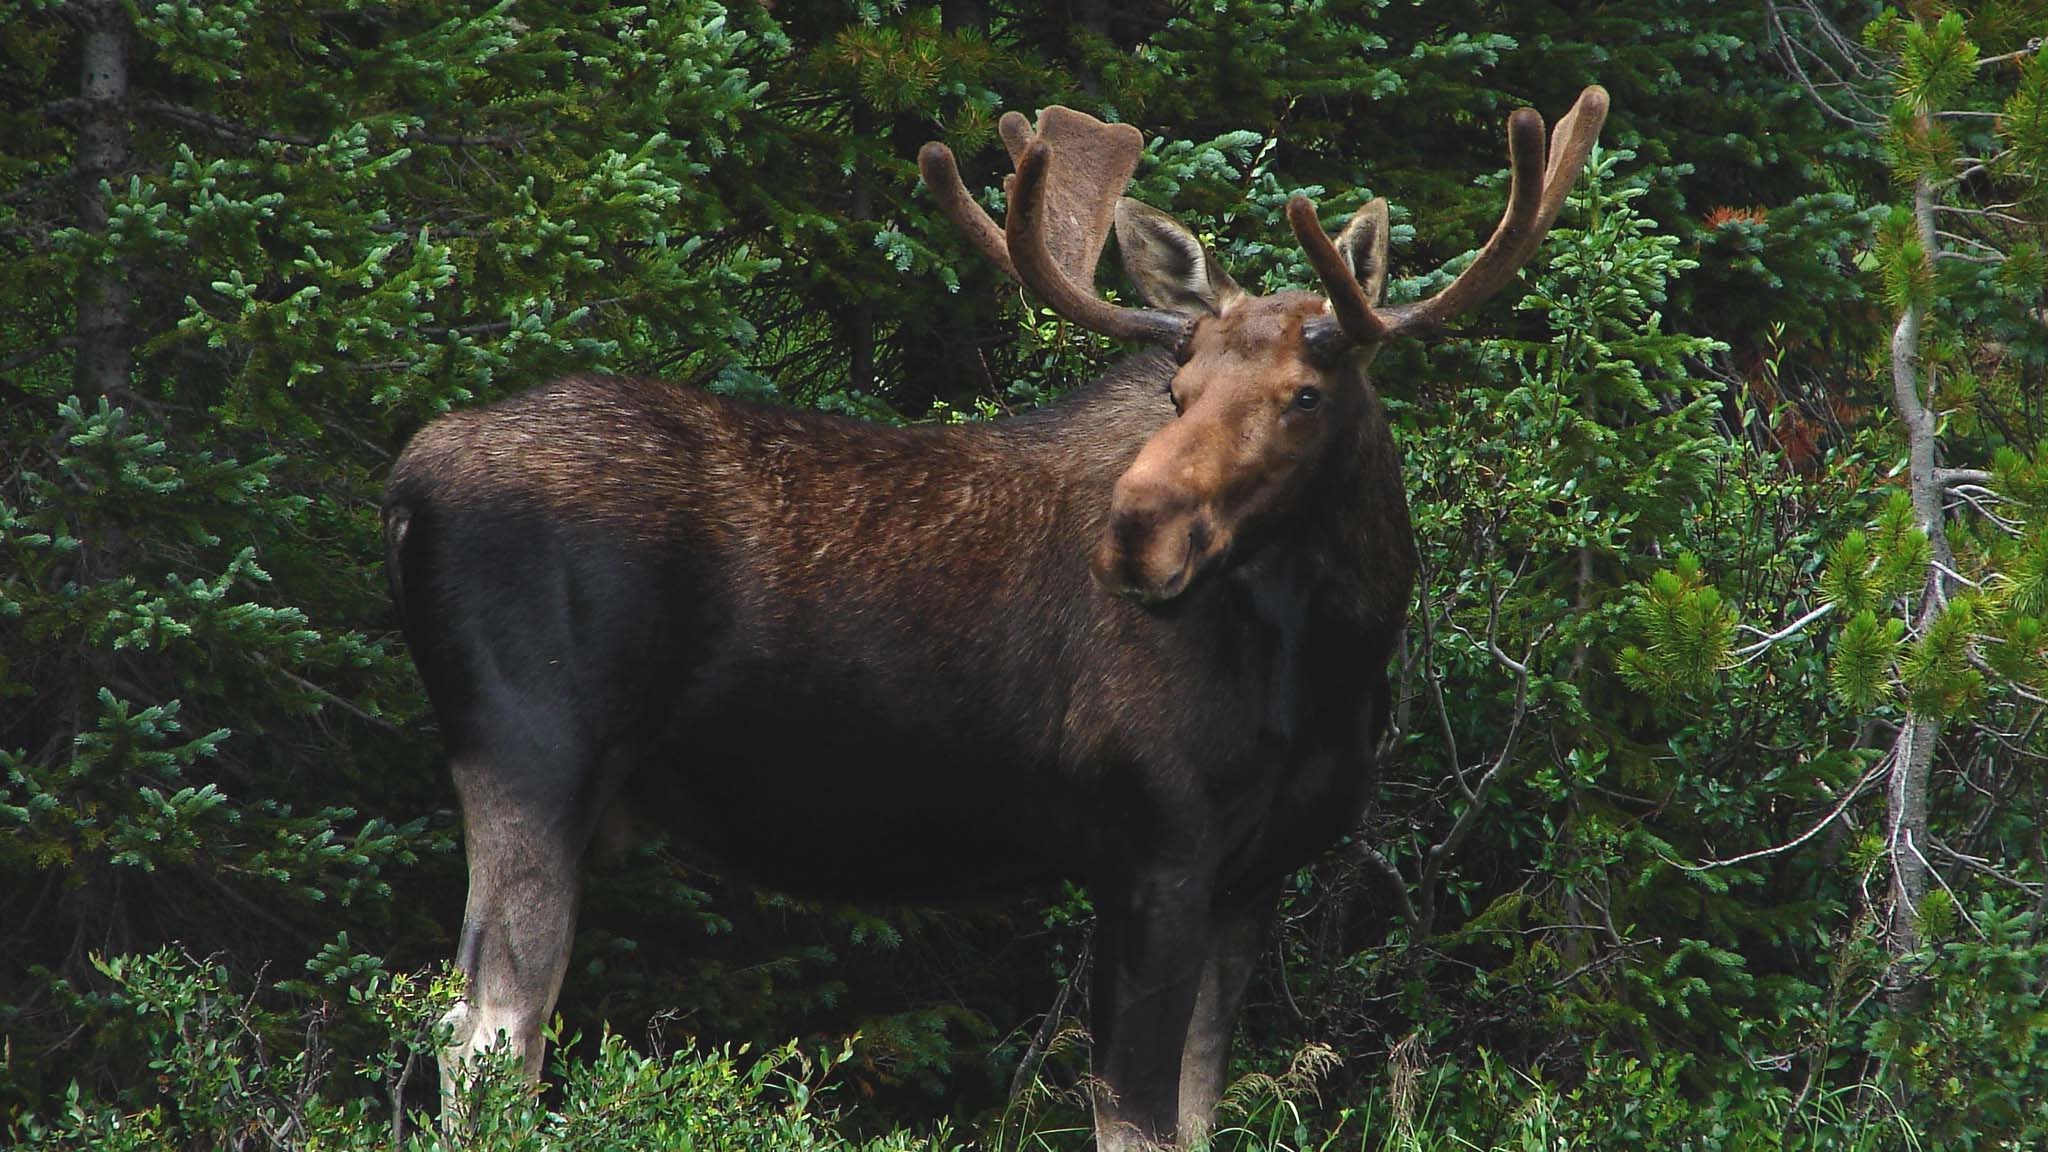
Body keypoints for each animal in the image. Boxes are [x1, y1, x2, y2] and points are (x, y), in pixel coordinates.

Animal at [383, 87, 1606, 1150]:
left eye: (1303, 396)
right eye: (1175, 390)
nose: (1137, 531)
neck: (1329, 665)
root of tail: (405, 486)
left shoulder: (1251, 877)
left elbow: (1201, 1112)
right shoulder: (1152, 850)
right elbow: (1133, 1120)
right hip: (534, 753)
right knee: (487, 1036)